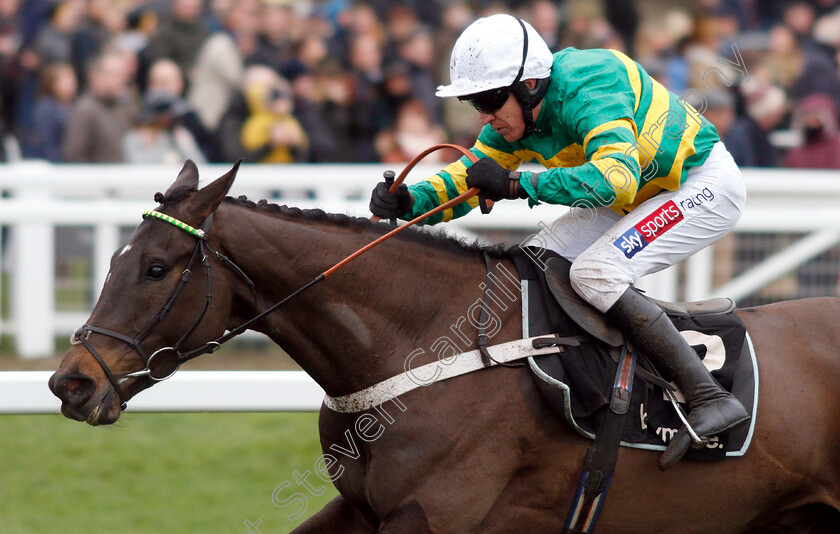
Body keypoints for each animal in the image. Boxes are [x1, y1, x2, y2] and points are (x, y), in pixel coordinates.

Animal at [50, 163, 840, 534]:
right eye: (115, 258)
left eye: (156, 268)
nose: (70, 383)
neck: (418, 347)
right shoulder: (363, 509)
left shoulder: (436, 518)